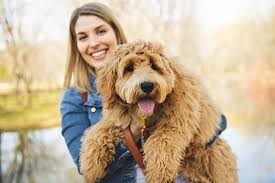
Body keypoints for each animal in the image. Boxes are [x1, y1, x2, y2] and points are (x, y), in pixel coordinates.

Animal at [80, 40, 239, 183]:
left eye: (154, 65)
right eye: (129, 67)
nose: (147, 85)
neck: (147, 115)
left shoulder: (176, 122)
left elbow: (161, 143)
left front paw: (158, 174)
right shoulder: (120, 119)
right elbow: (98, 132)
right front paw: (91, 165)